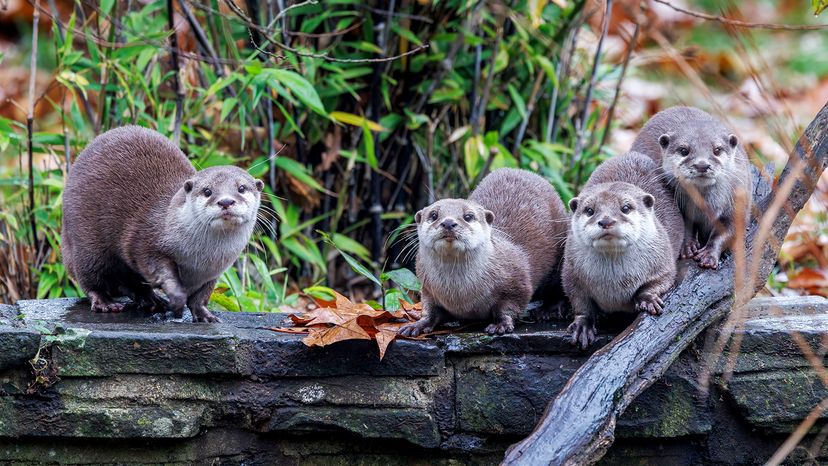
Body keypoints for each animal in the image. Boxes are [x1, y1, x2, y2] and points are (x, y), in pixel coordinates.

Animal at [61, 126, 263, 322]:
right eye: (207, 191)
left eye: (241, 188)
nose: (226, 201)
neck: (199, 260)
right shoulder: (146, 240)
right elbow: (159, 269)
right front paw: (177, 299)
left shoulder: (212, 274)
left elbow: (201, 297)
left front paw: (205, 315)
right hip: (86, 241)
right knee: (90, 278)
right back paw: (106, 302)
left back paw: (151, 300)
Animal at [398, 168, 568, 336]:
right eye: (433, 215)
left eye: (468, 216)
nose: (448, 222)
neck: (460, 296)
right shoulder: (428, 288)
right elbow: (429, 310)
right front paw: (417, 325)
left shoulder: (517, 282)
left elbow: (510, 306)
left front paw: (501, 325)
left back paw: (547, 310)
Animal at [563, 152, 683, 349]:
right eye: (589, 210)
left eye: (625, 208)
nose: (606, 221)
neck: (614, 285)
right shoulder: (571, 272)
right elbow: (579, 301)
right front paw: (582, 325)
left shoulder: (663, 263)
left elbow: (661, 280)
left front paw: (648, 299)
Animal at [631, 106, 752, 269]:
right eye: (684, 150)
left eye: (717, 150)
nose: (702, 165)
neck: (706, 206)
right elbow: (685, 225)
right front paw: (688, 246)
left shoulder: (737, 200)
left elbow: (731, 230)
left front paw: (708, 255)